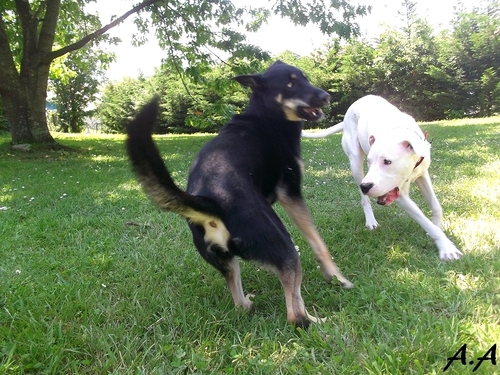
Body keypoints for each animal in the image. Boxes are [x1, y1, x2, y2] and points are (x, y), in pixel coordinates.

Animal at [125, 61, 352, 328]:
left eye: (305, 78)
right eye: (290, 84)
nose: (326, 97)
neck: (267, 114)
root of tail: (211, 203)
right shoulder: (291, 193)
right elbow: (317, 242)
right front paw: (337, 277)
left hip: (226, 261)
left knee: (239, 302)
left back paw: (249, 304)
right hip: (284, 246)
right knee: (294, 314)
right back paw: (319, 321)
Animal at [300, 95, 460, 262]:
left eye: (387, 161)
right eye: (370, 162)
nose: (365, 186)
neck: (397, 130)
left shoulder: (422, 174)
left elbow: (436, 206)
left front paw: (437, 227)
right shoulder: (400, 195)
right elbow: (423, 219)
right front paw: (445, 246)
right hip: (356, 163)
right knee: (364, 199)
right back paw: (371, 220)